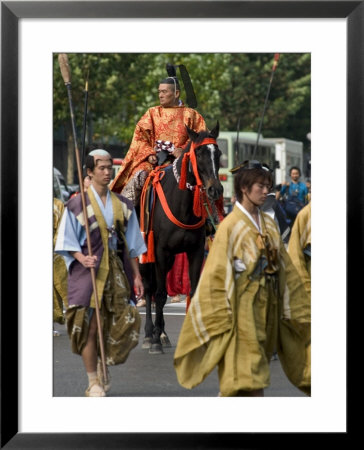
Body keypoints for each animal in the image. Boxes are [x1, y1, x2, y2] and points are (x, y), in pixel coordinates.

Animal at [141, 121, 223, 354]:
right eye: (199, 153)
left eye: (218, 154)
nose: (215, 189)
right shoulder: (159, 251)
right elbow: (160, 294)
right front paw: (155, 342)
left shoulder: (195, 250)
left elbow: (193, 292)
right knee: (149, 289)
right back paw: (150, 334)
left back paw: (163, 333)